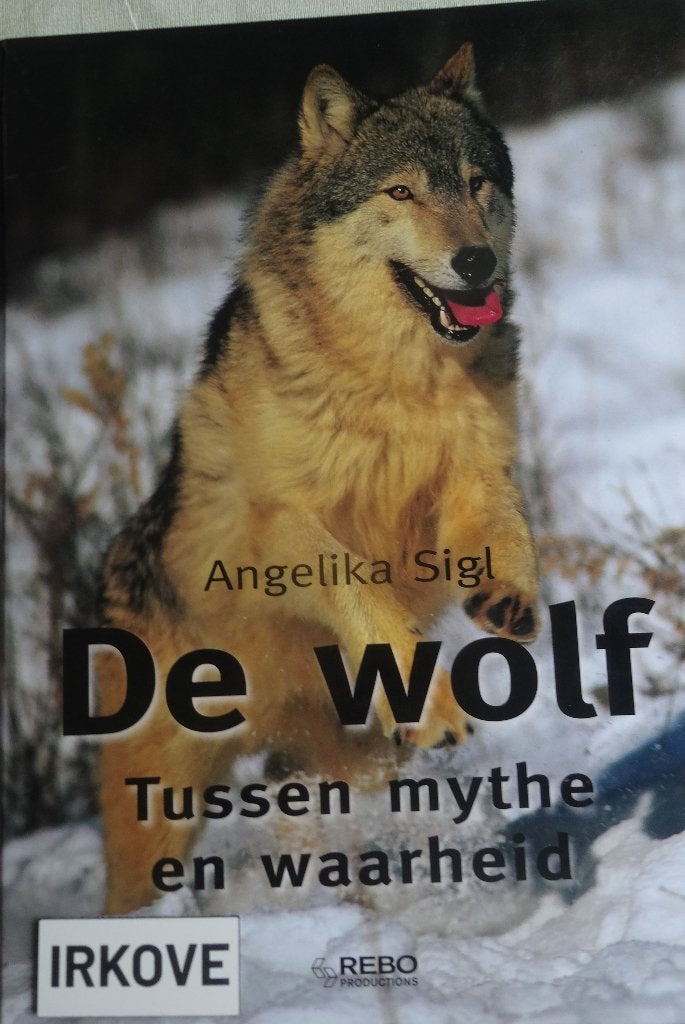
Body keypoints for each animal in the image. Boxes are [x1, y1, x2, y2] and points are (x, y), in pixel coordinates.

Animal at [98, 44, 539, 914]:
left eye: (477, 183)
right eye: (401, 192)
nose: (474, 260)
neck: (398, 381)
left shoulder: (471, 476)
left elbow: (510, 528)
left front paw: (508, 594)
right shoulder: (280, 527)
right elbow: (359, 589)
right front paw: (434, 703)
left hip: (343, 762)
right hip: (158, 815)